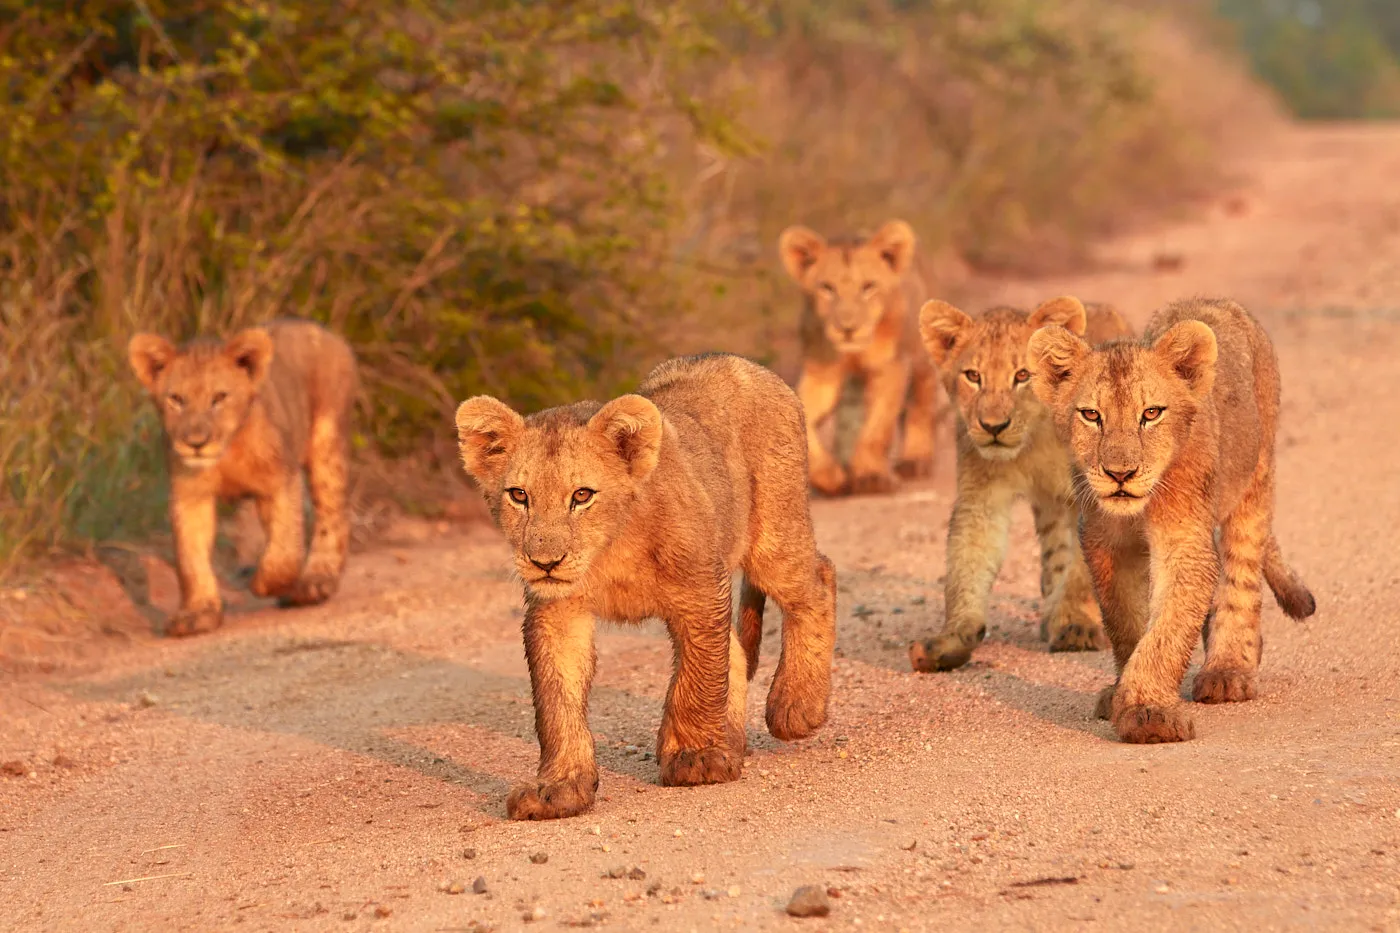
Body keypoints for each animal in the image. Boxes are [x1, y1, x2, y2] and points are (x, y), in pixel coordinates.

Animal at [128, 319, 358, 636]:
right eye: (176, 399)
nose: (196, 443)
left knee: (333, 514)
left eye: (219, 398)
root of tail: (319, 328)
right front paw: (198, 613)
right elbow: (190, 559)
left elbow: (285, 550)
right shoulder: (190, 497)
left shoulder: (280, 480)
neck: (227, 455)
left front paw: (267, 583)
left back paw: (314, 582)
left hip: (327, 442)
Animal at [454, 353, 837, 820]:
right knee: (735, 649)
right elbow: (556, 700)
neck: (610, 549)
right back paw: (731, 738)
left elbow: (698, 678)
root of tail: (741, 361)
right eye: (519, 495)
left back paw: (795, 706)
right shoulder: (557, 610)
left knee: (818, 580)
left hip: (773, 536)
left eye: (581, 495)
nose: (545, 562)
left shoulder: (700, 588)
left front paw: (696, 756)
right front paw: (559, 788)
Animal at [778, 220, 942, 495]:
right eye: (827, 288)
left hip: (921, 358)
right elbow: (805, 415)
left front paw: (870, 476)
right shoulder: (822, 375)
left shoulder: (890, 367)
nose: (848, 328)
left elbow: (878, 427)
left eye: (868, 287)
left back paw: (915, 459)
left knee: (921, 405)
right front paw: (829, 477)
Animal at [908, 296, 1132, 672]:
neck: (1035, 440)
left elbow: (1081, 573)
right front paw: (952, 639)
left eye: (1022, 375)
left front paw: (1075, 625)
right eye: (973, 376)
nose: (993, 426)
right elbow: (966, 565)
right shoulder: (980, 497)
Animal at [1027, 297, 1316, 743]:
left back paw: (1229, 669)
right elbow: (1126, 622)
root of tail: (1216, 301)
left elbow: (1167, 630)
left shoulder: (1183, 540)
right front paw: (1121, 694)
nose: (1120, 474)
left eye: (1151, 413)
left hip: (1255, 478)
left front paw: (1148, 713)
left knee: (1241, 575)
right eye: (1091, 414)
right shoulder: (1104, 543)